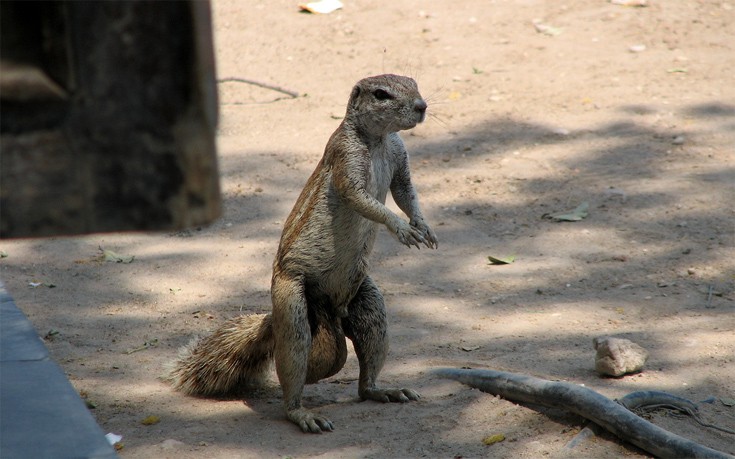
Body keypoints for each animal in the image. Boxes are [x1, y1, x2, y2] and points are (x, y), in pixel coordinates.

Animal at [168, 73, 436, 434]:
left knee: (365, 378)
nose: (422, 106)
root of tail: (329, 309)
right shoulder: (345, 160)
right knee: (292, 376)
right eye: (381, 94)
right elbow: (363, 200)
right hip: (293, 307)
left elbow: (406, 192)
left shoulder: (400, 159)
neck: (378, 140)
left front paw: (423, 227)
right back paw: (304, 415)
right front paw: (401, 228)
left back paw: (385, 391)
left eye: (414, 83)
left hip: (369, 305)